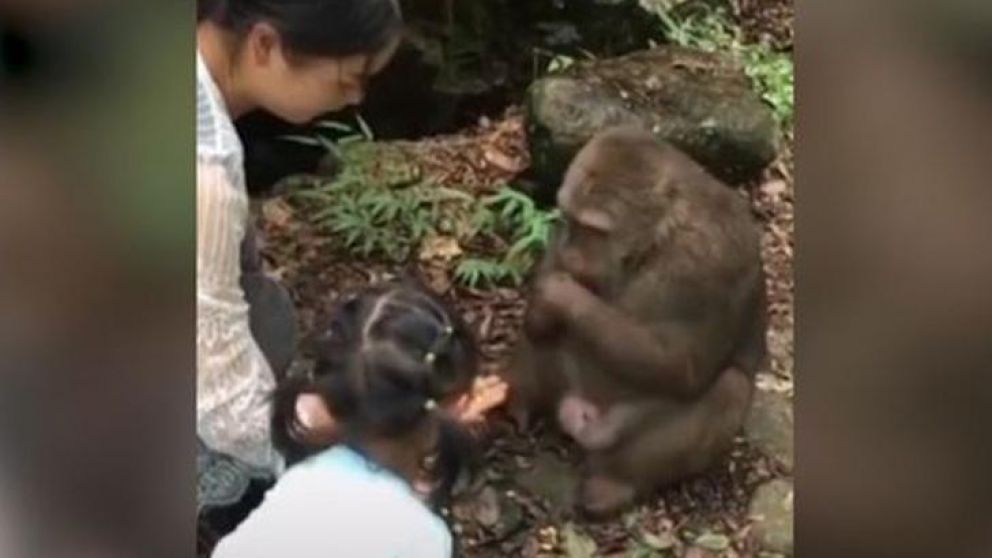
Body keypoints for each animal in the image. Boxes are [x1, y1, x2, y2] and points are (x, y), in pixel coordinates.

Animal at [505, 125, 767, 517]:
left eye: (594, 229)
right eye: (569, 219)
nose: (573, 251)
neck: (656, 242)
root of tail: (577, 414)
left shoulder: (711, 260)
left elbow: (683, 365)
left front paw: (560, 296)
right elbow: (543, 303)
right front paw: (543, 301)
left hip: (613, 434)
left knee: (731, 386)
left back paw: (616, 484)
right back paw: (522, 401)